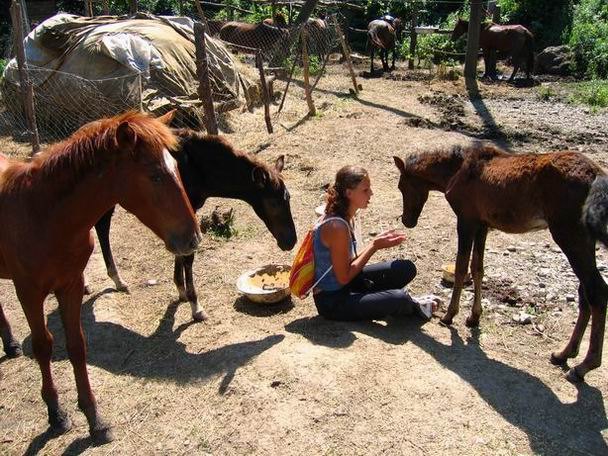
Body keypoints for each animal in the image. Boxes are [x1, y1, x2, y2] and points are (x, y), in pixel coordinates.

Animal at [0, 109, 201, 442]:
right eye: (155, 175)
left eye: (176, 167)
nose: (193, 238)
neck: (43, 215)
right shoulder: (27, 292)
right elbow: (43, 346)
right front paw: (56, 414)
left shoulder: (71, 285)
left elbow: (77, 346)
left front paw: (95, 419)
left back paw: (11, 343)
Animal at [92, 130, 296, 322]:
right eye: (273, 203)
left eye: (289, 197)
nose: (290, 241)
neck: (201, 171)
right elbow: (188, 256)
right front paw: (196, 306)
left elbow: (181, 250)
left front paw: (181, 290)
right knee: (102, 226)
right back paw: (116, 279)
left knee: (101, 225)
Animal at [394, 144, 608, 382]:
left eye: (402, 186)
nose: (407, 221)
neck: (458, 169)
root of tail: (596, 175)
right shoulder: (482, 225)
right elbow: (477, 268)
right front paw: (474, 317)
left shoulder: (466, 221)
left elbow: (461, 268)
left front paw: (450, 315)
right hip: (584, 242)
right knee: (585, 294)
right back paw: (563, 354)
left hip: (570, 237)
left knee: (597, 292)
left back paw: (583, 366)